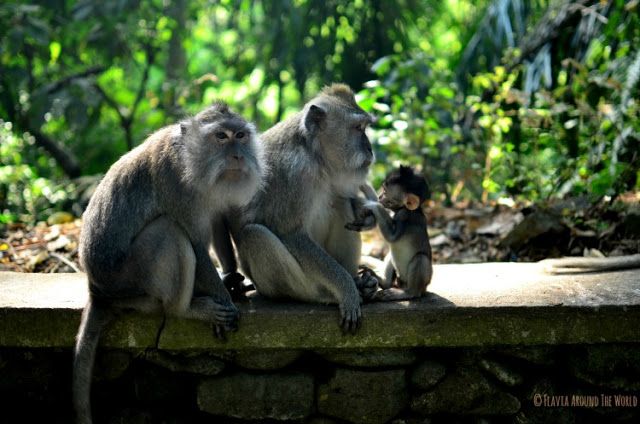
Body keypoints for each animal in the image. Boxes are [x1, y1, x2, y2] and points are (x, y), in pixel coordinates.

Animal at [228, 83, 378, 332]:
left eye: (364, 128)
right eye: (358, 129)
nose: (370, 149)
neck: (314, 154)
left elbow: (344, 195)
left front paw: (368, 215)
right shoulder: (293, 173)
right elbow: (291, 233)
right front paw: (346, 290)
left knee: (338, 202)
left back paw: (360, 281)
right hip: (279, 284)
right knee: (255, 235)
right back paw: (326, 294)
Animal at [348, 166, 432, 302]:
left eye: (386, 192)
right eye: (383, 189)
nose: (380, 196)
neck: (404, 208)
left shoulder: (405, 216)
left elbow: (392, 237)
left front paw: (373, 204)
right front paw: (363, 185)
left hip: (423, 281)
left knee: (420, 258)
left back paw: (407, 293)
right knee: (391, 255)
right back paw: (384, 282)